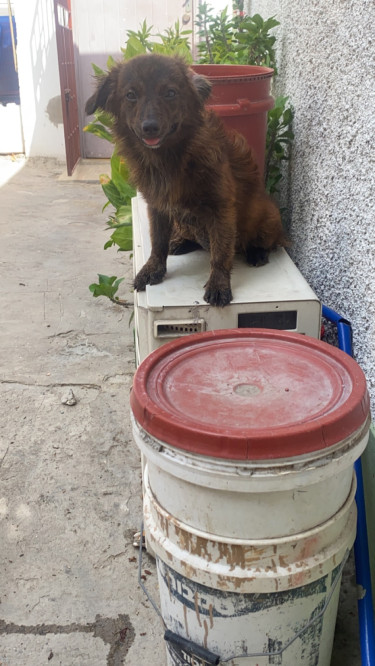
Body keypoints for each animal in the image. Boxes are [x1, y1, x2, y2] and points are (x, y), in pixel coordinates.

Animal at [86, 54, 286, 304]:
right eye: (130, 95)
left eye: (170, 93)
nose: (150, 127)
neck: (169, 159)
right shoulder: (157, 206)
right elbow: (158, 243)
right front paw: (153, 269)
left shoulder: (221, 208)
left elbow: (220, 252)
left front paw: (219, 284)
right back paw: (180, 242)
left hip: (268, 215)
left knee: (269, 240)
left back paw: (257, 251)